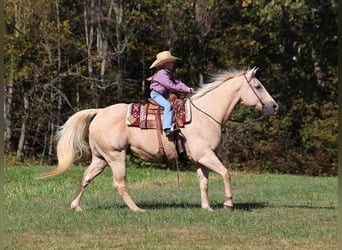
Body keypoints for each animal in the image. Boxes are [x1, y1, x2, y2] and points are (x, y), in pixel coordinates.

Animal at [38, 67, 278, 212]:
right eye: (258, 86)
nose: (274, 106)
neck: (206, 114)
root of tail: (99, 112)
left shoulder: (201, 159)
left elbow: (204, 182)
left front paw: (207, 207)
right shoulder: (205, 155)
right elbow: (226, 173)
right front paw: (228, 204)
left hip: (100, 158)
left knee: (86, 178)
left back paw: (76, 206)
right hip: (116, 157)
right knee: (119, 184)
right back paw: (137, 209)